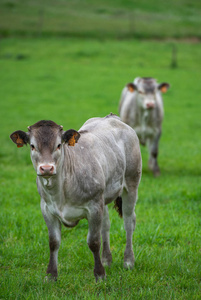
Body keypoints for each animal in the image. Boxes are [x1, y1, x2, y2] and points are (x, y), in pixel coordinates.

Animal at [9, 113, 141, 282]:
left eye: (59, 145)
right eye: (32, 146)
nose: (46, 168)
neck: (61, 193)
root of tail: (112, 118)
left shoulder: (93, 207)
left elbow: (93, 241)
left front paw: (100, 274)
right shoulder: (46, 209)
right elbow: (53, 242)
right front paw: (51, 275)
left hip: (131, 183)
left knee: (129, 221)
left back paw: (128, 261)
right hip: (103, 197)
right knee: (106, 224)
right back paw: (107, 260)